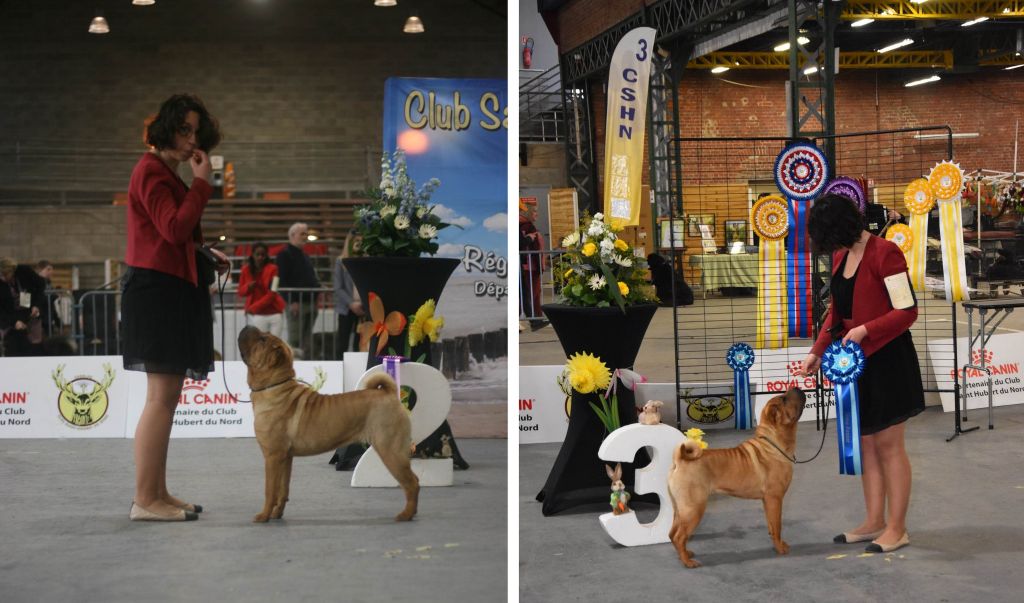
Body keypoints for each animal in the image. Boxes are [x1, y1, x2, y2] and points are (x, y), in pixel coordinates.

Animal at [237, 327, 417, 520]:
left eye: (262, 339)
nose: (248, 327)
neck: (275, 387)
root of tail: (389, 394)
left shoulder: (273, 456)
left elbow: (270, 490)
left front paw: (263, 516)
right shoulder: (285, 457)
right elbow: (283, 489)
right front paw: (277, 513)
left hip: (390, 450)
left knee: (411, 482)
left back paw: (406, 514)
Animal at [667, 386, 802, 565]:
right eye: (784, 399)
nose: (796, 387)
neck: (773, 444)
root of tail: (680, 460)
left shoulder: (767, 500)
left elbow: (771, 525)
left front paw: (776, 542)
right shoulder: (775, 498)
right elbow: (777, 525)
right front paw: (780, 548)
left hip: (680, 509)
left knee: (673, 534)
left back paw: (686, 554)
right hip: (694, 508)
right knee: (679, 536)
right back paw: (688, 563)